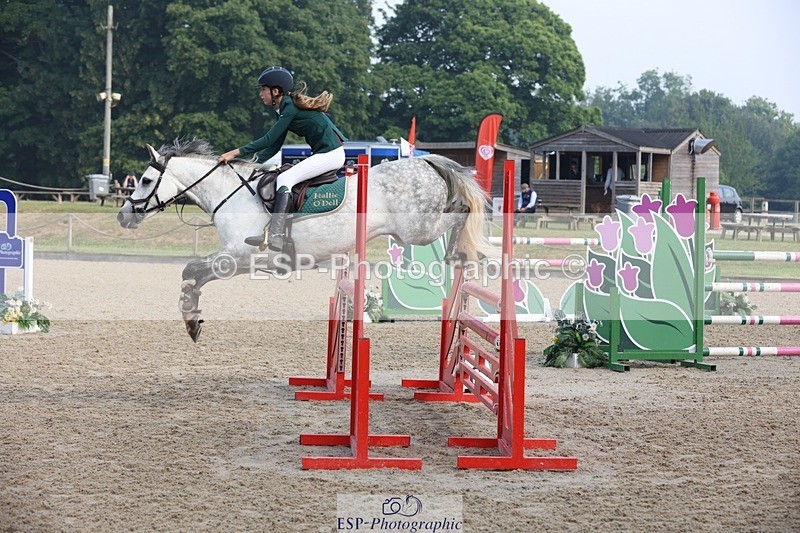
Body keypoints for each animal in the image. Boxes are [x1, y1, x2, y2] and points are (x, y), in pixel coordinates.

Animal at [117, 139, 489, 341]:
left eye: (146, 180)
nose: (123, 215)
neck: (230, 193)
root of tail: (426, 161)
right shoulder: (238, 261)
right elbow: (195, 274)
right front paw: (193, 320)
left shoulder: (238, 255)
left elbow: (191, 270)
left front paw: (190, 319)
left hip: (417, 229)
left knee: (461, 211)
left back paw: (464, 250)